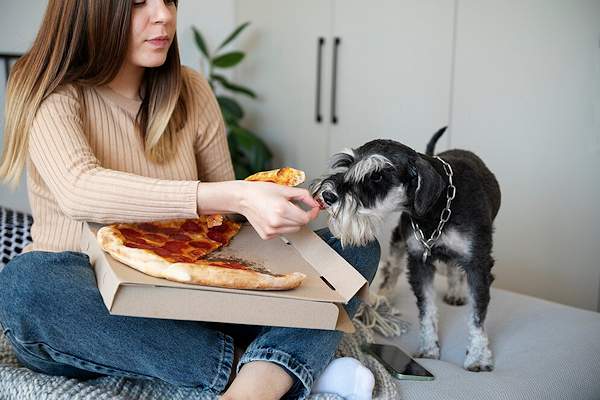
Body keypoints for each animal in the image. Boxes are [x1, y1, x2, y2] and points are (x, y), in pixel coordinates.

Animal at [310, 128, 502, 372]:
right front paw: (429, 350)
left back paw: (455, 292)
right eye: (348, 163)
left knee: (453, 268)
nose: (328, 196)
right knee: (393, 267)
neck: (438, 207)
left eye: (377, 177)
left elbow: (477, 315)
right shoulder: (419, 261)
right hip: (401, 236)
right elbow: (427, 309)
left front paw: (478, 357)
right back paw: (384, 296)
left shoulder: (478, 264)